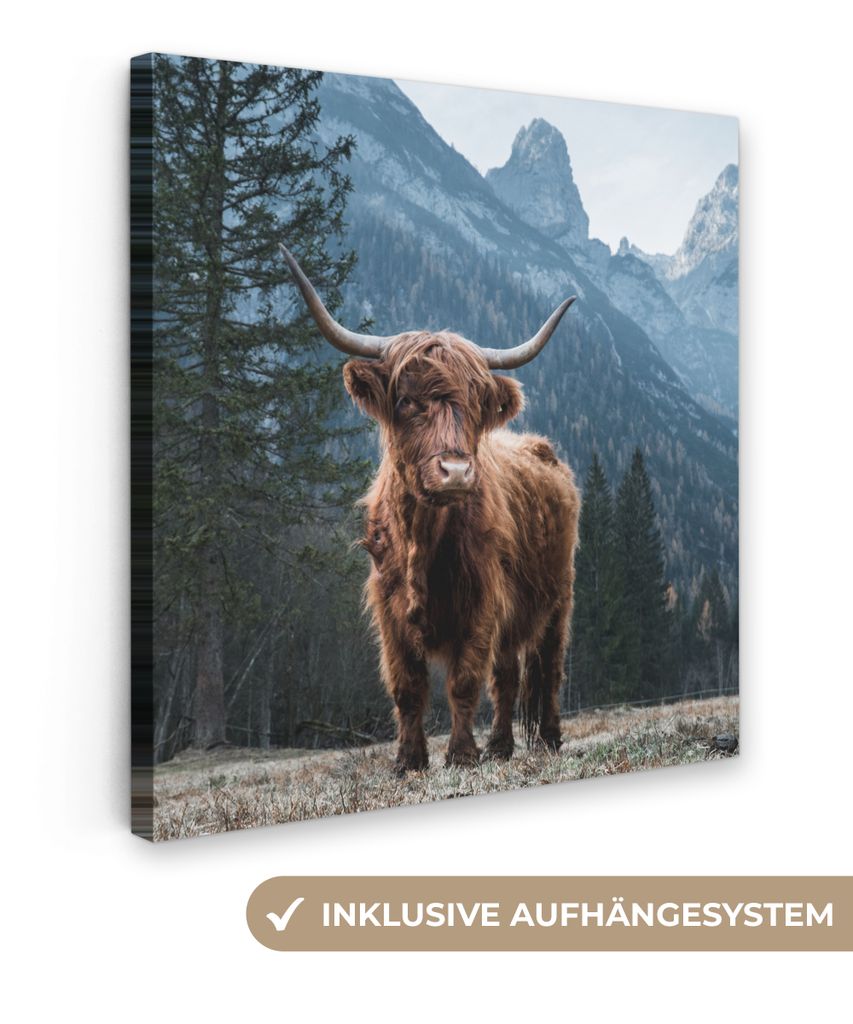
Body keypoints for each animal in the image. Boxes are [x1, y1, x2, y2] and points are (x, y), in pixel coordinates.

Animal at [280, 244, 581, 773]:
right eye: (406, 400)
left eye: (476, 404)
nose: (456, 472)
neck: (421, 537)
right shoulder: (389, 608)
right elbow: (407, 687)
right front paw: (409, 761)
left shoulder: (481, 602)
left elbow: (463, 681)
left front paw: (460, 754)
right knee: (507, 675)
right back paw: (501, 746)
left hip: (558, 597)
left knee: (548, 668)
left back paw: (546, 738)